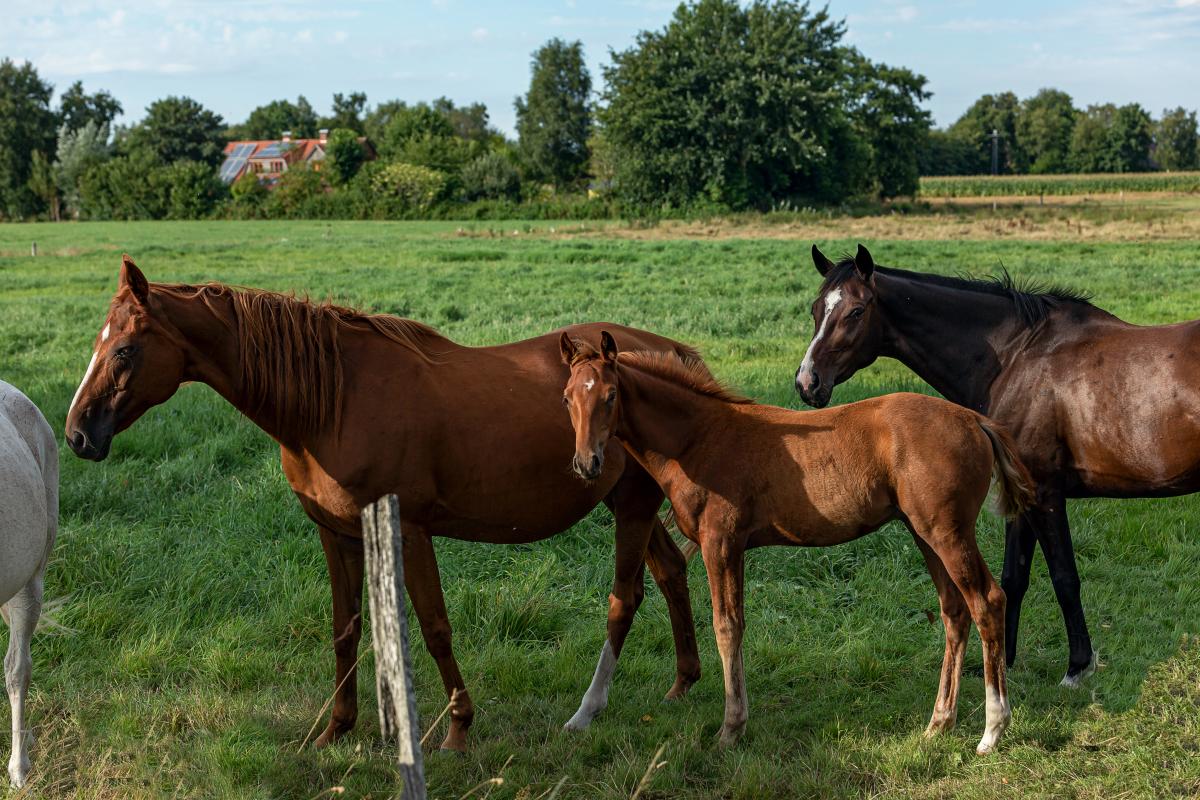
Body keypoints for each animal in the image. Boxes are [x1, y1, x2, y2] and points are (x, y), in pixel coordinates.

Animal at [64, 255, 705, 752]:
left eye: (124, 351)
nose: (77, 434)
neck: (334, 401)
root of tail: (665, 350)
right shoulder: (335, 532)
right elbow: (345, 627)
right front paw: (335, 729)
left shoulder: (410, 529)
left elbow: (435, 626)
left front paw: (458, 729)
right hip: (626, 500)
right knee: (671, 571)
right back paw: (683, 683)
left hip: (632, 504)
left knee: (626, 597)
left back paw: (595, 709)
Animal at [560, 331, 1032, 755]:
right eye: (567, 398)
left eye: (610, 396)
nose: (586, 463)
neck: (698, 438)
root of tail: (975, 420)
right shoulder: (731, 547)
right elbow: (734, 624)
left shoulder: (720, 543)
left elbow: (726, 627)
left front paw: (731, 729)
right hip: (924, 533)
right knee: (954, 611)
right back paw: (938, 724)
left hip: (948, 533)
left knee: (987, 602)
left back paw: (992, 731)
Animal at [796, 243, 1200, 687]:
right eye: (816, 309)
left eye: (855, 311)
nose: (807, 382)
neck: (1015, 357)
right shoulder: (1021, 496)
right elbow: (1013, 578)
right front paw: (1003, 660)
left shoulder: (1044, 493)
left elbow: (1064, 577)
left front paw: (1078, 666)